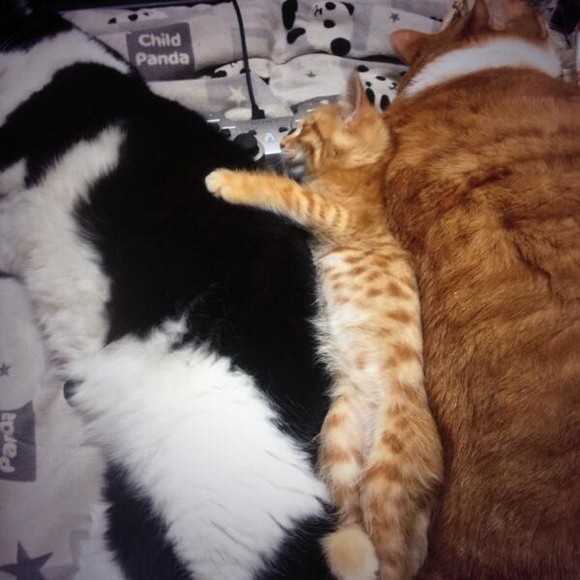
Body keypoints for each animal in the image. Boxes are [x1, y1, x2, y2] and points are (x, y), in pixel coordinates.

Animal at [205, 73, 443, 580]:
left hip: (387, 476)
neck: (362, 177)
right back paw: (348, 550)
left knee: (394, 558)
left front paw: (231, 180)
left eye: (303, 126)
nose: (283, 141)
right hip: (338, 444)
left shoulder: (333, 213)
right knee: (353, 515)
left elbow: (284, 191)